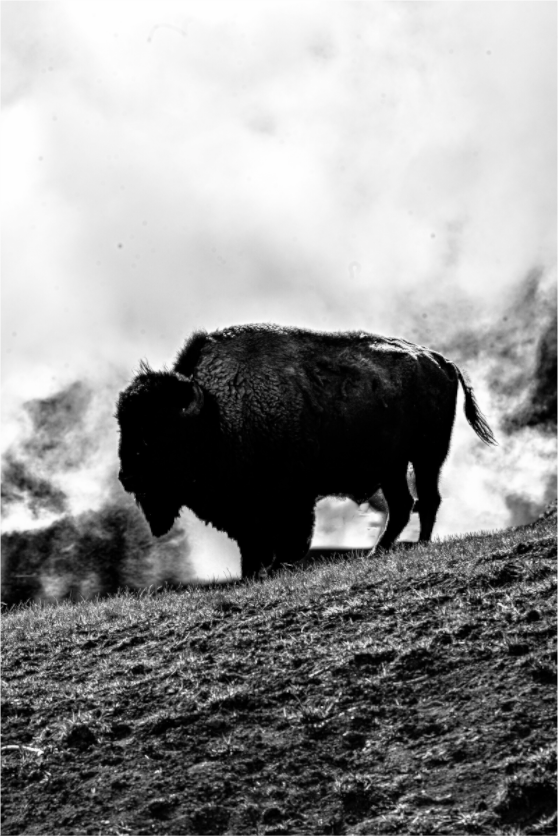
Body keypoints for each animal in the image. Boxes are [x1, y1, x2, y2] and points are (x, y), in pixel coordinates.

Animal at [116, 324, 496, 578]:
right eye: (123, 425)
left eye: (157, 430)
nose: (127, 476)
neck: (215, 412)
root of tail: (441, 361)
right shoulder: (246, 514)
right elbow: (252, 545)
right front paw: (255, 573)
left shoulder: (291, 498)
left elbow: (290, 538)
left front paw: (276, 568)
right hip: (393, 466)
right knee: (404, 504)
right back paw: (377, 552)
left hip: (427, 455)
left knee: (427, 499)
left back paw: (419, 545)